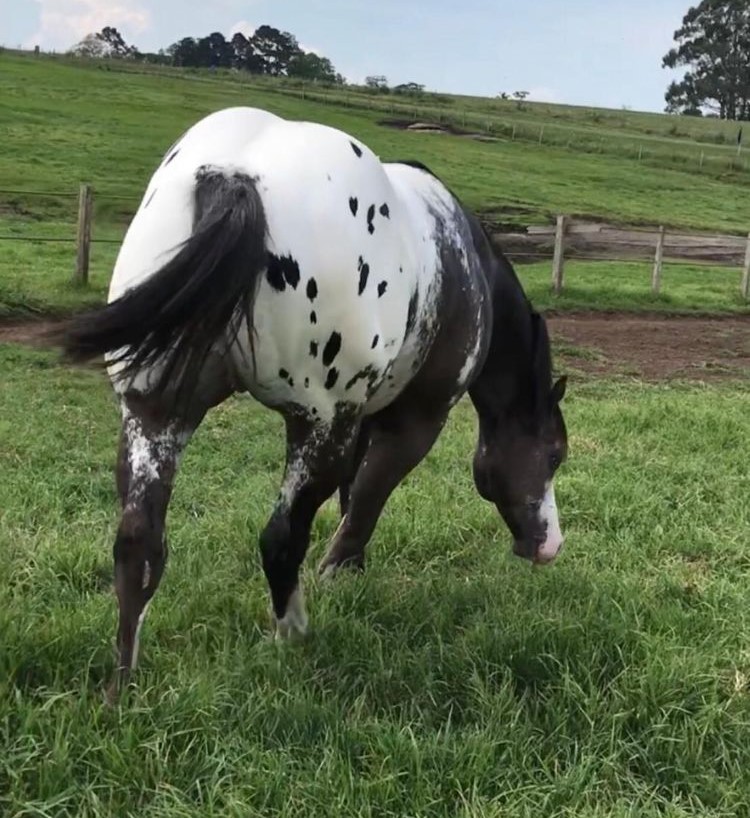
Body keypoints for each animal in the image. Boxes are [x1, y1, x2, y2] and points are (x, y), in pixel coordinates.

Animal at [53, 103, 568, 696]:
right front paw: (339, 571)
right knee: (279, 538)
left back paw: (121, 689)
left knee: (138, 544)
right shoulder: (413, 420)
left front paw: (351, 571)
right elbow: (367, 495)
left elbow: (353, 497)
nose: (549, 545)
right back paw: (293, 634)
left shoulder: (362, 415)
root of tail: (233, 178)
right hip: (317, 424)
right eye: (554, 454)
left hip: (154, 415)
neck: (463, 262)